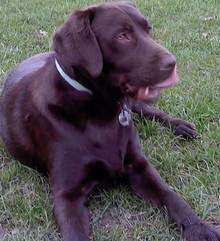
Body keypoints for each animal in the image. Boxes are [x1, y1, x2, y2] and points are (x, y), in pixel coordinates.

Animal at [0, 1, 218, 241]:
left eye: (148, 29)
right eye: (122, 36)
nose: (172, 63)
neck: (100, 112)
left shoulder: (139, 164)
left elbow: (172, 197)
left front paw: (200, 227)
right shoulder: (66, 195)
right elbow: (76, 234)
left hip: (135, 105)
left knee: (150, 111)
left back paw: (181, 126)